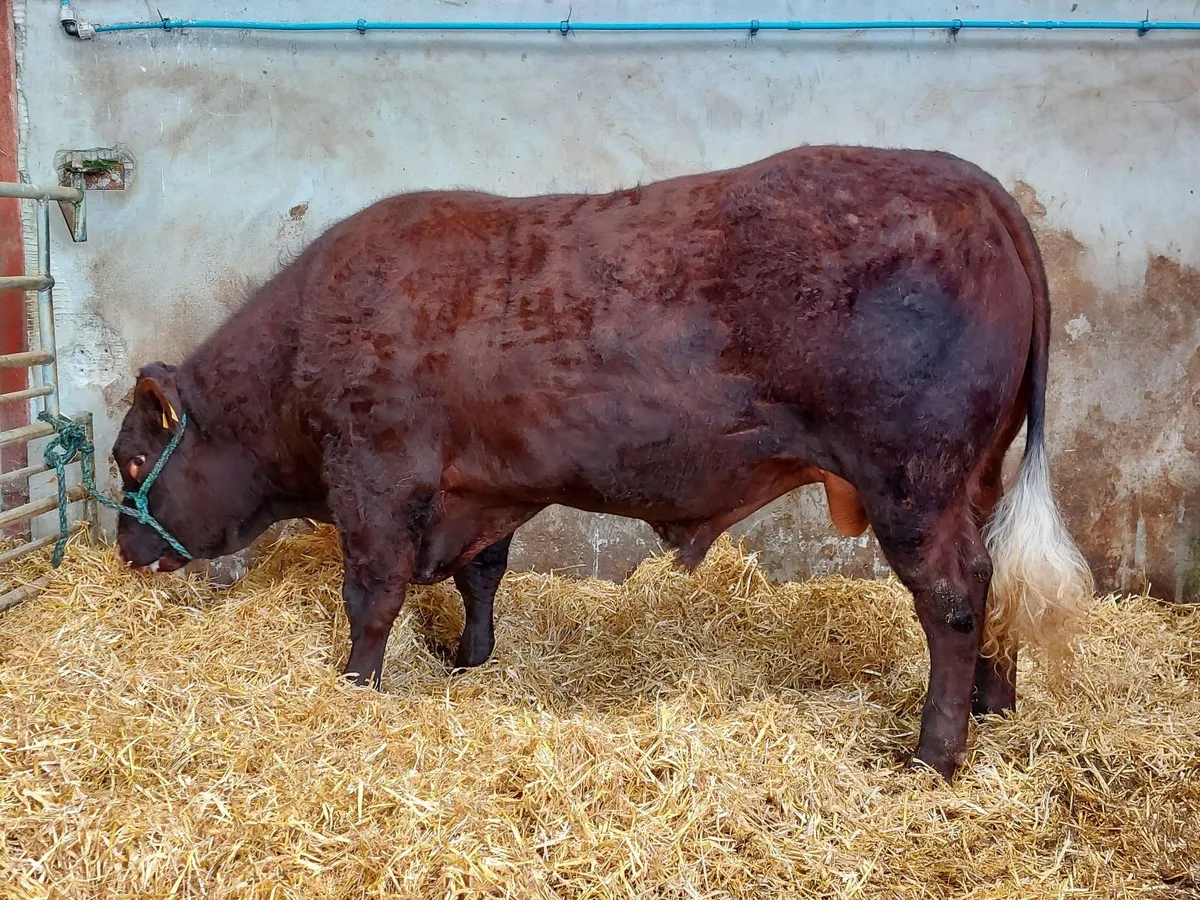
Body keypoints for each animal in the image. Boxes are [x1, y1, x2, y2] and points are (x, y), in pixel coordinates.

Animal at [111, 145, 1093, 781]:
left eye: (128, 460)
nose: (124, 549)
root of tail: (976, 187)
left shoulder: (377, 478)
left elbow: (373, 596)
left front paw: (357, 686)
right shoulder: (484, 488)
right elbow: (481, 575)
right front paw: (470, 660)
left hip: (912, 479)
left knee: (956, 595)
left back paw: (934, 755)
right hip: (976, 474)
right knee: (997, 577)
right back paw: (997, 707)